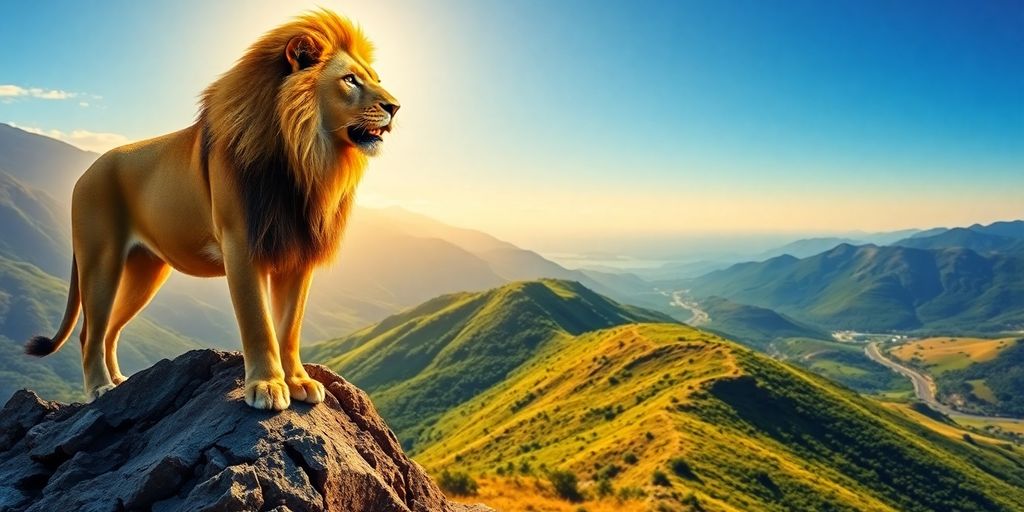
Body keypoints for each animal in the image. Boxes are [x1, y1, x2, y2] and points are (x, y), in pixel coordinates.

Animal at [24, 9, 399, 410]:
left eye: (376, 80)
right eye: (350, 80)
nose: (395, 107)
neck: (306, 158)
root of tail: (87, 171)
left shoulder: (298, 253)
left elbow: (289, 328)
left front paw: (298, 381)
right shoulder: (241, 245)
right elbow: (259, 323)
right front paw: (267, 387)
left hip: (145, 270)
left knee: (110, 329)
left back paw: (119, 382)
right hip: (100, 259)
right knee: (89, 333)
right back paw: (99, 389)